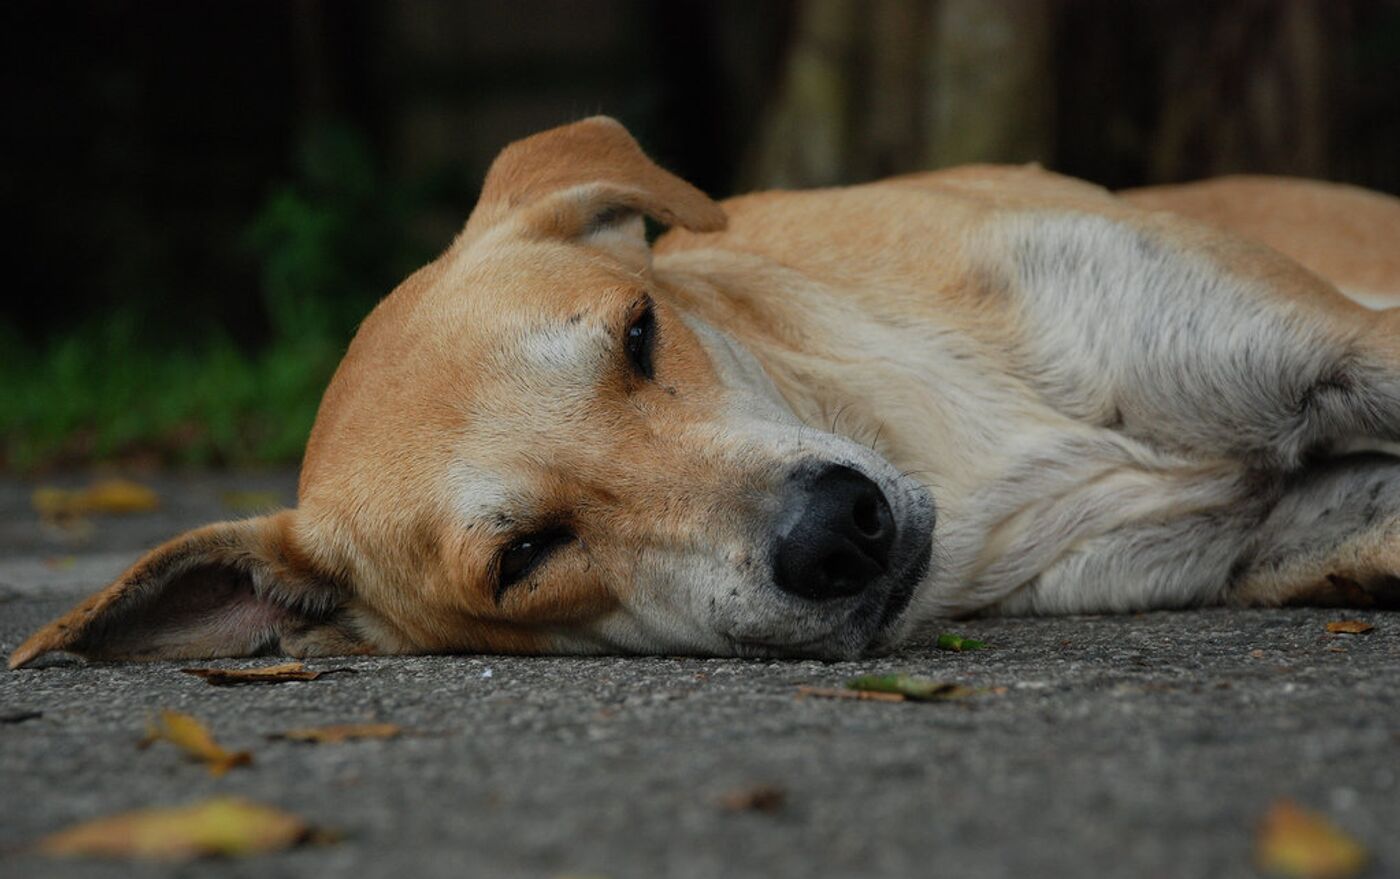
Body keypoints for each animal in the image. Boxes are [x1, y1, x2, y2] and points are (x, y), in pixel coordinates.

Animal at [13, 116, 1400, 666]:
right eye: (522, 557)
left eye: (638, 336)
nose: (836, 535)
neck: (962, 449)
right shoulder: (1276, 534)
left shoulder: (1329, 345)